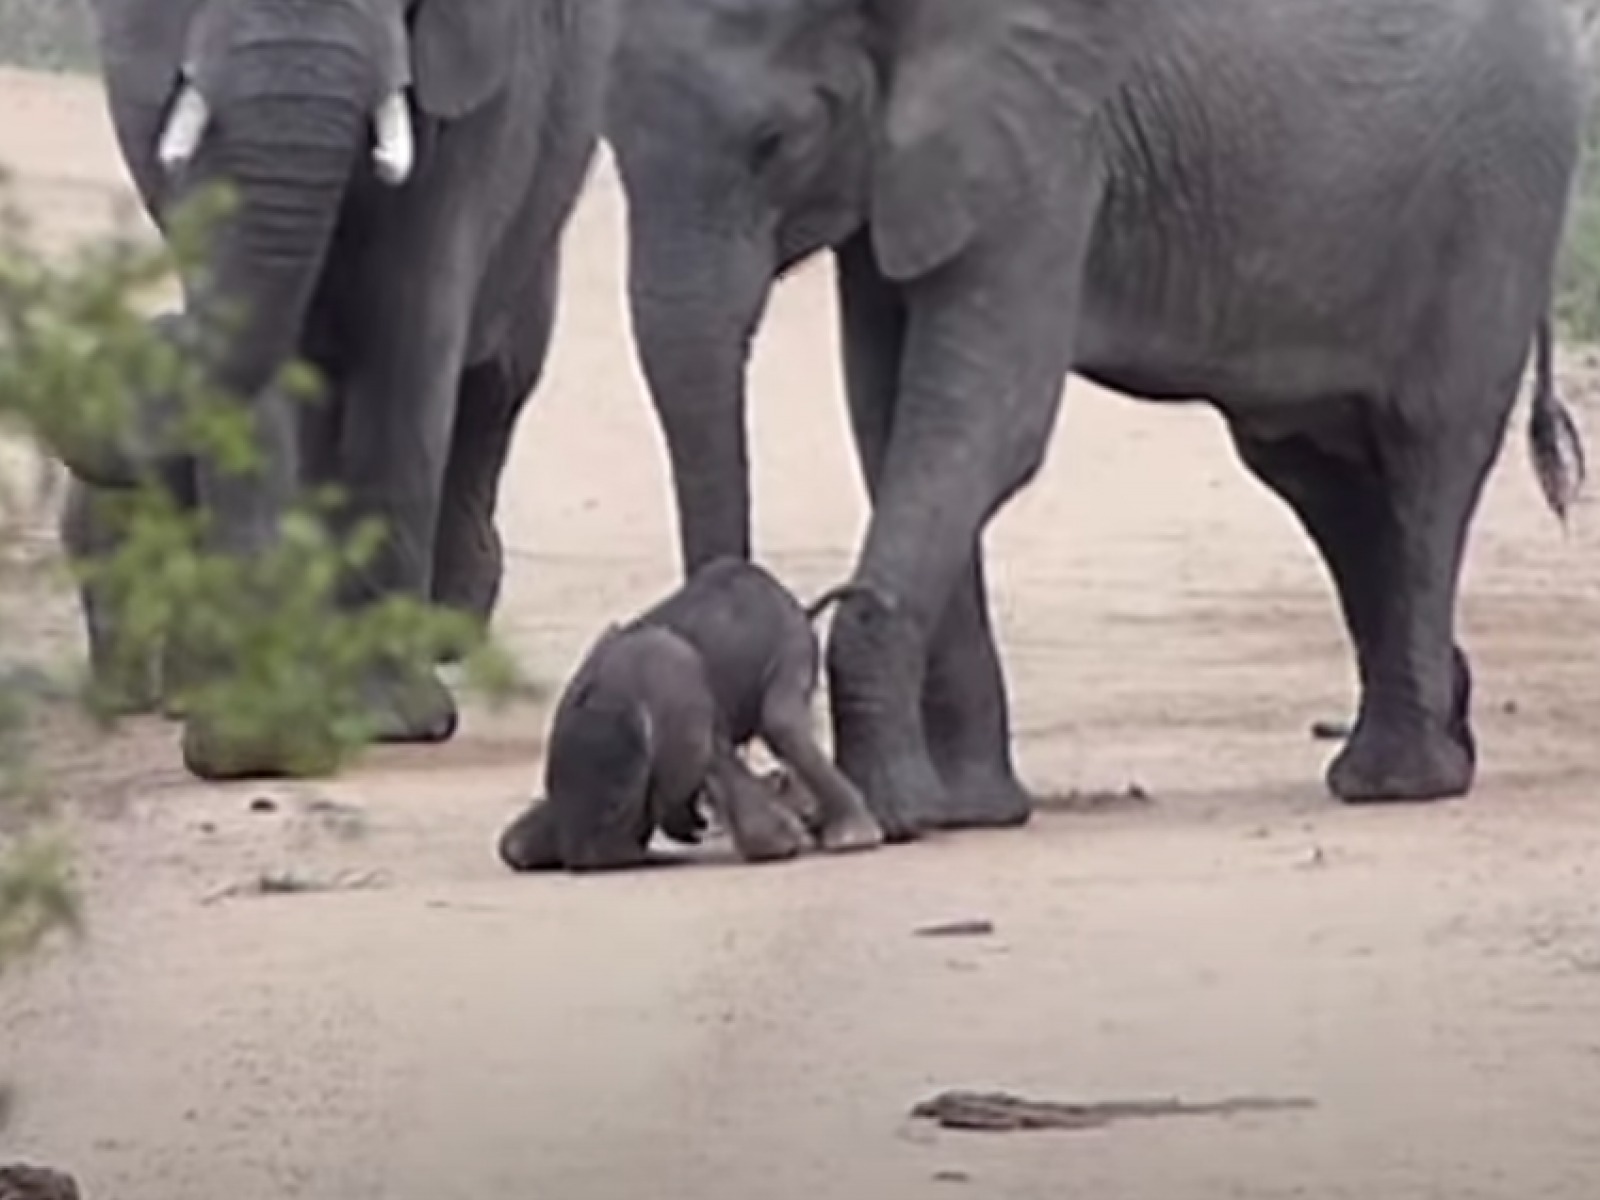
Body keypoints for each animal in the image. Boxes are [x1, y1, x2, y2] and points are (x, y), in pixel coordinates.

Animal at [608, 0, 1587, 838]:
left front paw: (896, 816)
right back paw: (1439, 734)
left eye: (773, 142)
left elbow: (982, 425)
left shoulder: (1043, 142)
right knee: (1320, 478)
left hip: (1496, 197)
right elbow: (888, 423)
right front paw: (969, 813)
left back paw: (1398, 784)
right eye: (609, 146)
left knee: (1428, 453)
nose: (715, 807)